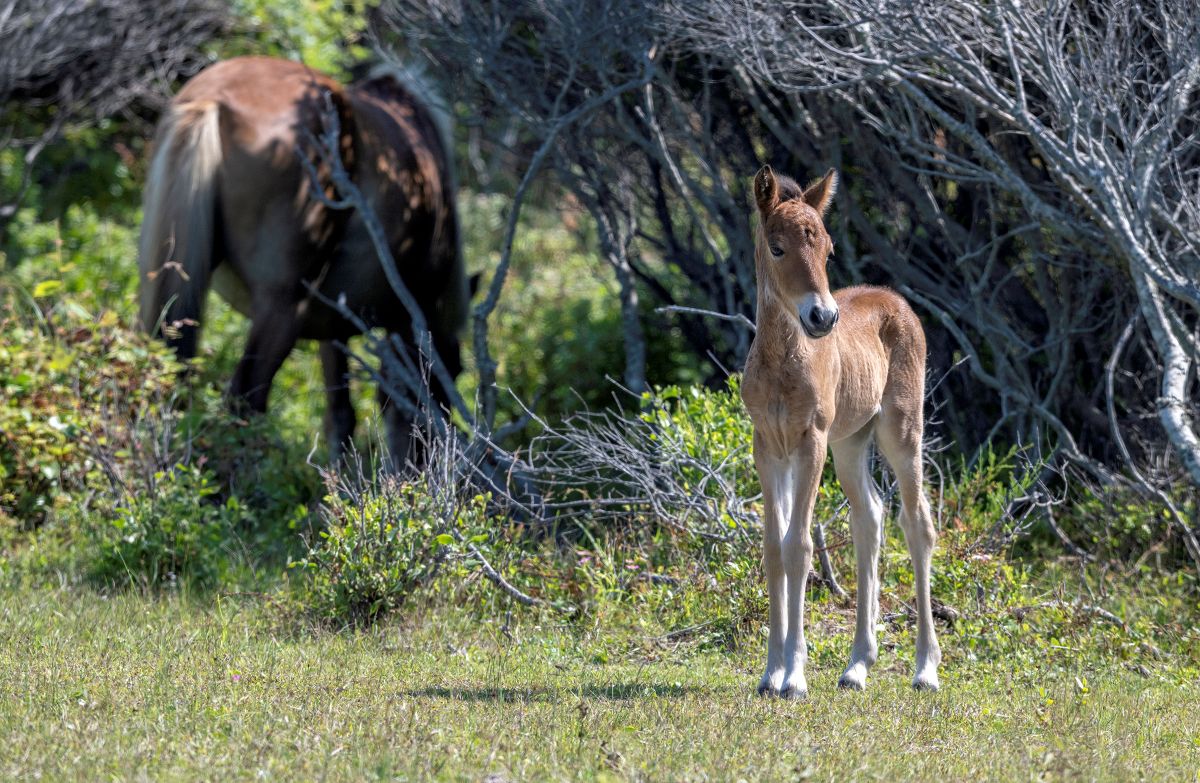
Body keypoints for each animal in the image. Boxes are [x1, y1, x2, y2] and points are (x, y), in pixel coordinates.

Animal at [137, 56, 468, 464]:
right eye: (454, 371)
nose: (424, 465)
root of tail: (214, 101)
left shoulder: (335, 326)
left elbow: (341, 414)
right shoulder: (407, 321)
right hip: (282, 309)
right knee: (245, 400)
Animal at [740, 165, 942, 697]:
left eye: (828, 249)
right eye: (777, 247)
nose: (823, 317)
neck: (782, 362)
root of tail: (899, 303)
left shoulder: (810, 440)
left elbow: (799, 546)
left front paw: (794, 676)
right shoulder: (768, 447)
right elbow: (773, 548)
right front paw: (770, 673)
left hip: (900, 430)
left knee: (917, 523)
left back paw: (926, 669)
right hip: (850, 442)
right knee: (869, 516)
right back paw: (857, 666)